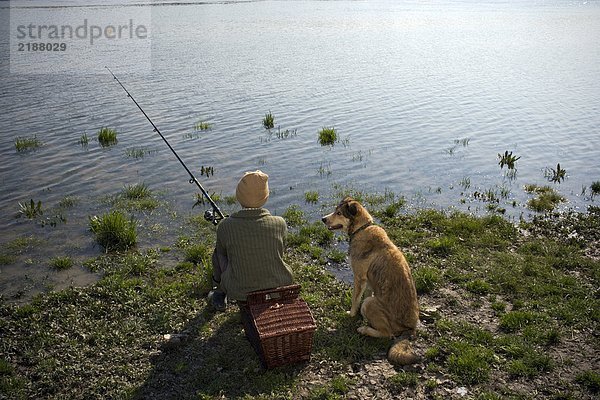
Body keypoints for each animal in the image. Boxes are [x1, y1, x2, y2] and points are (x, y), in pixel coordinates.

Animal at [322, 197, 420, 366]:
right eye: (335, 210)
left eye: (339, 213)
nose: (323, 219)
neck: (361, 229)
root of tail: (410, 329)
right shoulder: (367, 282)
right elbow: (363, 296)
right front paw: (360, 315)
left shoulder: (359, 278)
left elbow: (355, 300)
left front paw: (351, 314)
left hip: (371, 304)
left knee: (387, 334)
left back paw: (364, 329)